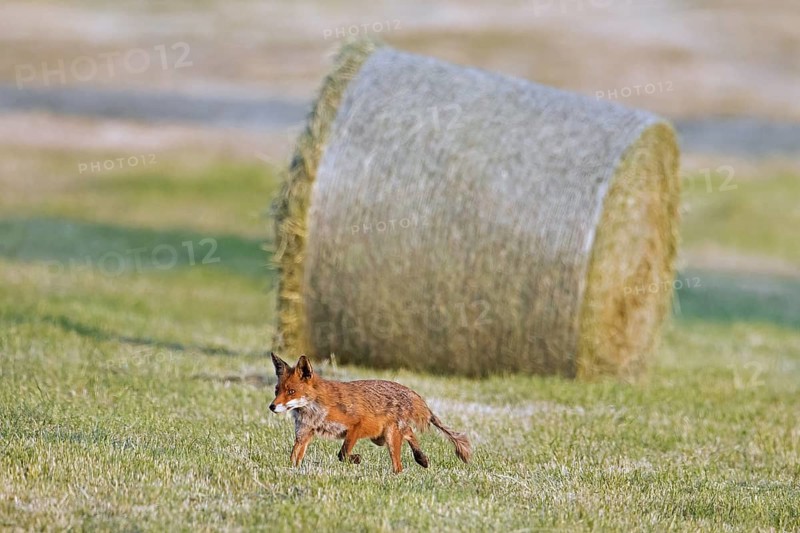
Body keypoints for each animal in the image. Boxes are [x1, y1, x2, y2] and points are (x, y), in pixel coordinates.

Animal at [268, 352, 471, 473]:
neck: (315, 412)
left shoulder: (357, 424)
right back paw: (421, 457)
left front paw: (356, 459)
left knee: (399, 464)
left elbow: (343, 453)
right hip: (380, 438)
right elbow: (294, 457)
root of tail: (411, 391)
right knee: (409, 432)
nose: (272, 406)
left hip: (389, 436)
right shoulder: (304, 434)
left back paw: (405, 469)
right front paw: (292, 472)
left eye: (291, 391)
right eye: (277, 390)